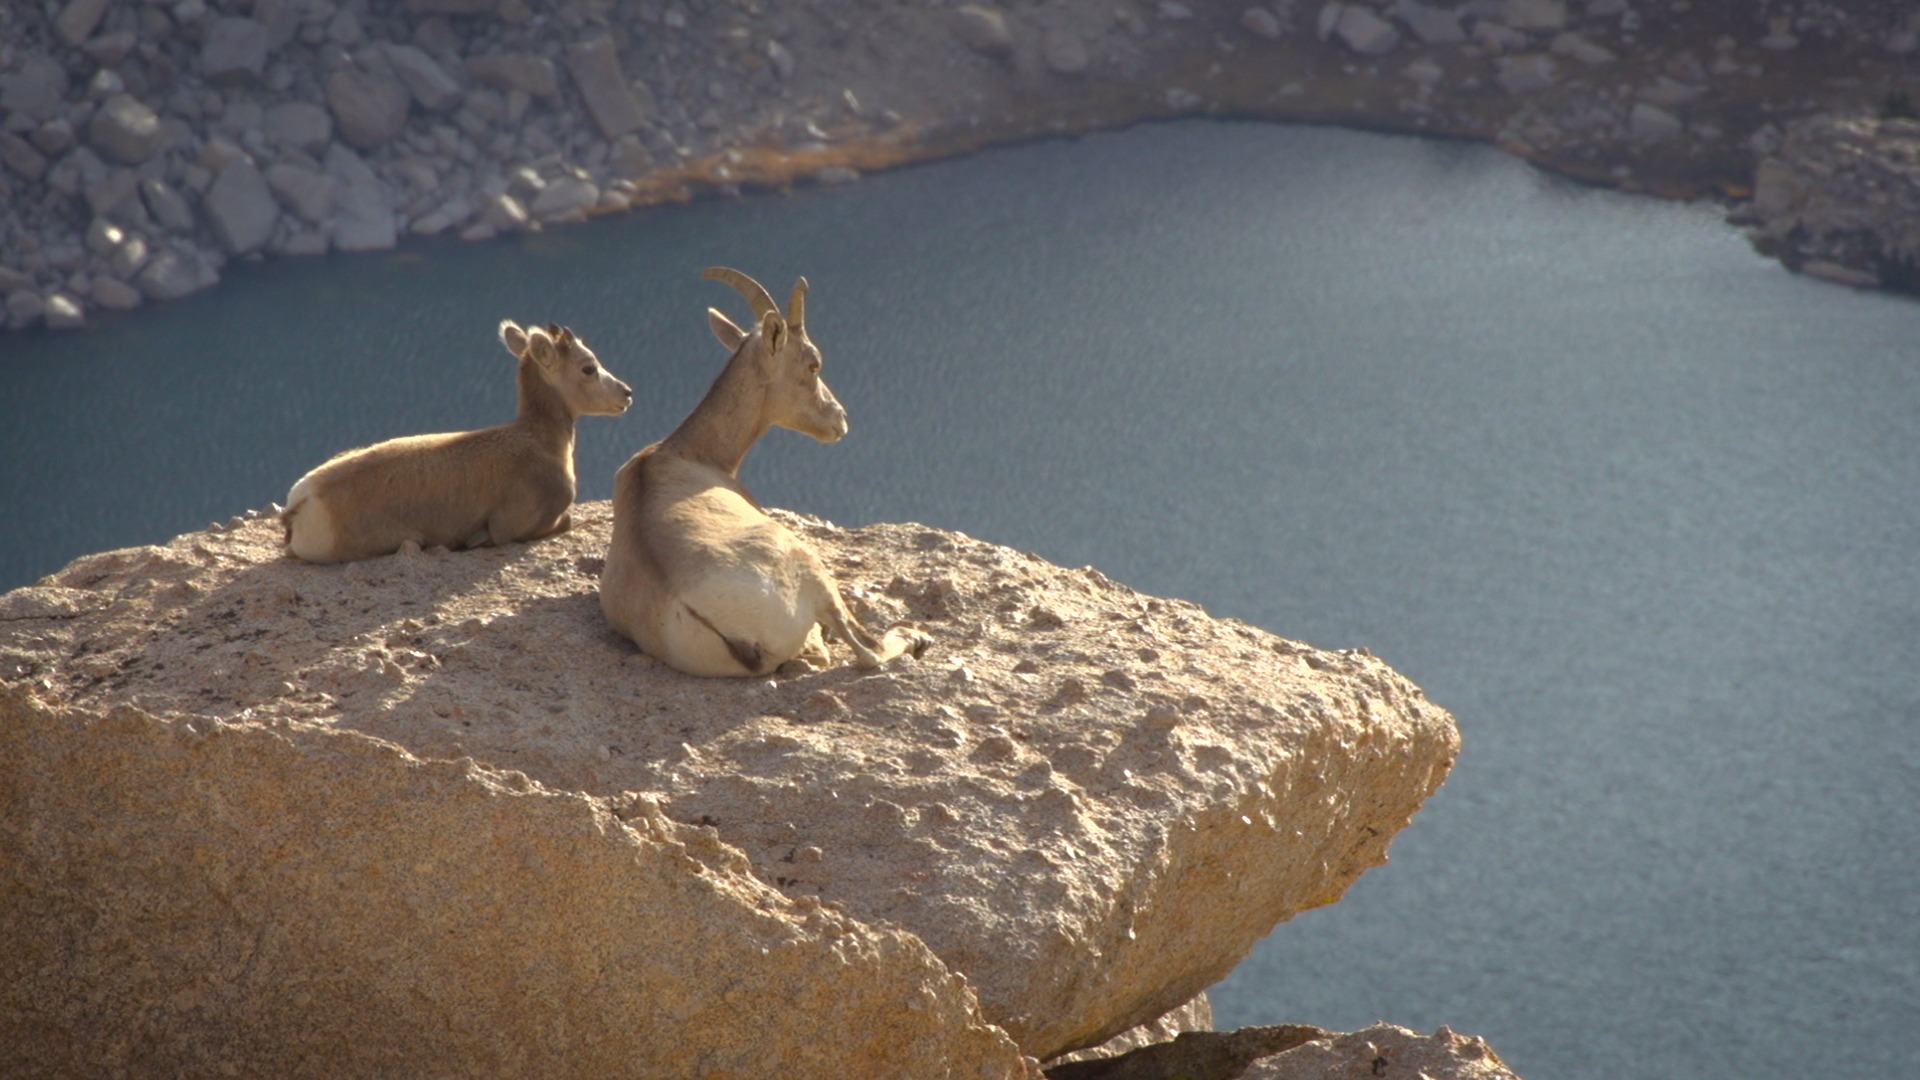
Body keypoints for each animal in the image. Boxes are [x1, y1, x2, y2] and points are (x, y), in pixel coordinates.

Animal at [599, 267, 929, 672]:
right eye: (813, 364)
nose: (838, 420)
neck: (686, 454)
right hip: (811, 568)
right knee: (867, 649)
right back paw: (912, 637)